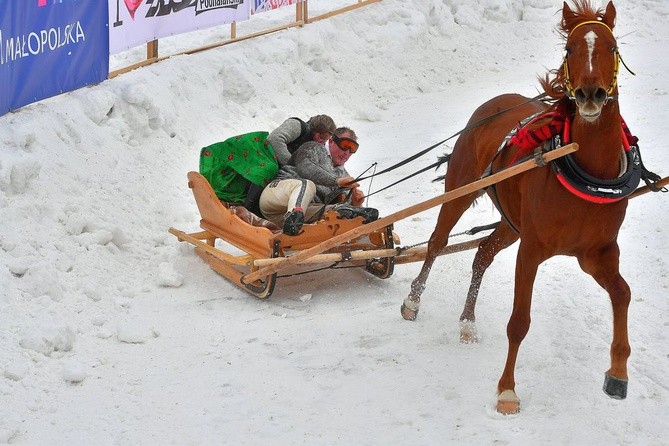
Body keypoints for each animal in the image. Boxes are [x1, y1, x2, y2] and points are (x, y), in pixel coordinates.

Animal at [400, 1, 636, 414]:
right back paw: (413, 300)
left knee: (481, 253)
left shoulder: (597, 254)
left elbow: (622, 294)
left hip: (512, 224)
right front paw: (507, 390)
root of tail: (494, 104)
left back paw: (467, 321)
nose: (590, 94)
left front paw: (617, 372)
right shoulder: (531, 251)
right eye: (570, 49)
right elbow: (519, 322)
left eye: (612, 47)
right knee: (437, 243)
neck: (587, 169)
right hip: (460, 191)